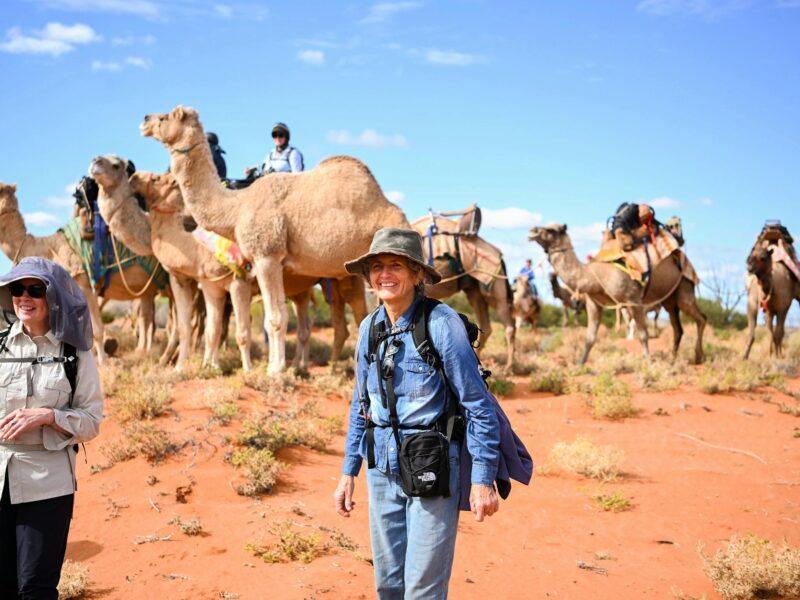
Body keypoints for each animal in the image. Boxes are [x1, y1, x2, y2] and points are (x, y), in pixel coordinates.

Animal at [0, 182, 162, 363]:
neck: (48, 247)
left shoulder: (83, 283)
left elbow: (95, 329)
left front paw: (103, 362)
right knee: (149, 317)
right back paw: (147, 352)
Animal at [90, 155, 366, 370]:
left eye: (116, 165)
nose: (134, 176)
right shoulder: (203, 283)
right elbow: (204, 328)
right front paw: (204, 364)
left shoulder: (235, 282)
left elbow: (227, 329)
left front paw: (241, 367)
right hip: (313, 284)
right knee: (315, 324)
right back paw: (309, 366)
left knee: (355, 316)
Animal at [141, 105, 407, 374]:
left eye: (164, 117)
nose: (144, 120)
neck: (236, 207)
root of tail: (396, 210)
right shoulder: (261, 262)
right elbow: (272, 316)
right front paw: (272, 365)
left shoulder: (267, 255)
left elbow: (276, 318)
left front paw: (275, 370)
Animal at [410, 216, 516, 366]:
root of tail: (499, 255)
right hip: (474, 290)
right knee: (486, 325)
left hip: (492, 283)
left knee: (508, 324)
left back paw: (509, 366)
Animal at [529, 224, 706, 365]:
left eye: (551, 230)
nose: (532, 231)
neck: (593, 275)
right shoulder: (594, 304)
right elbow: (589, 338)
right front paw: (579, 364)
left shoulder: (633, 300)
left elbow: (643, 335)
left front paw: (649, 363)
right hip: (669, 301)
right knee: (678, 328)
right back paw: (673, 359)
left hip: (685, 287)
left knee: (701, 318)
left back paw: (698, 357)